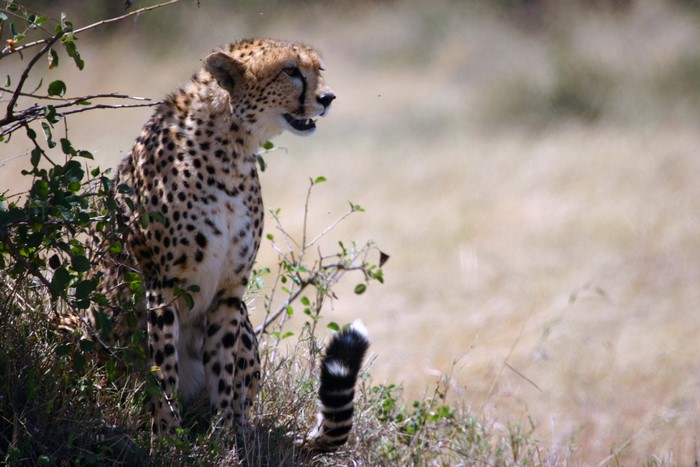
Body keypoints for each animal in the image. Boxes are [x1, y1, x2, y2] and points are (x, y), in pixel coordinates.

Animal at [72, 38, 369, 451]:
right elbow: (163, 370)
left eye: (317, 69)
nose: (327, 97)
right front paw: (167, 438)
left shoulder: (230, 292)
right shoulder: (163, 285)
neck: (231, 147)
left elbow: (225, 372)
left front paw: (227, 438)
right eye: (290, 71)